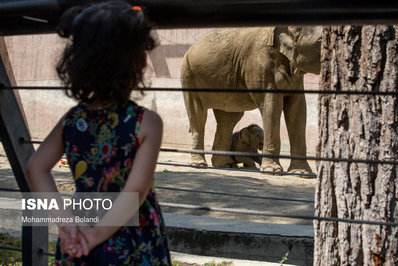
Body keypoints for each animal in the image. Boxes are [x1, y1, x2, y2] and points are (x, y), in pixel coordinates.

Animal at [182, 26, 322, 174]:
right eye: (320, 41)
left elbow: (297, 109)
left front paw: (301, 173)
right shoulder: (260, 65)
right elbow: (272, 105)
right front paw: (272, 170)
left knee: (228, 118)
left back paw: (224, 164)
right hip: (189, 76)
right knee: (199, 116)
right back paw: (199, 164)